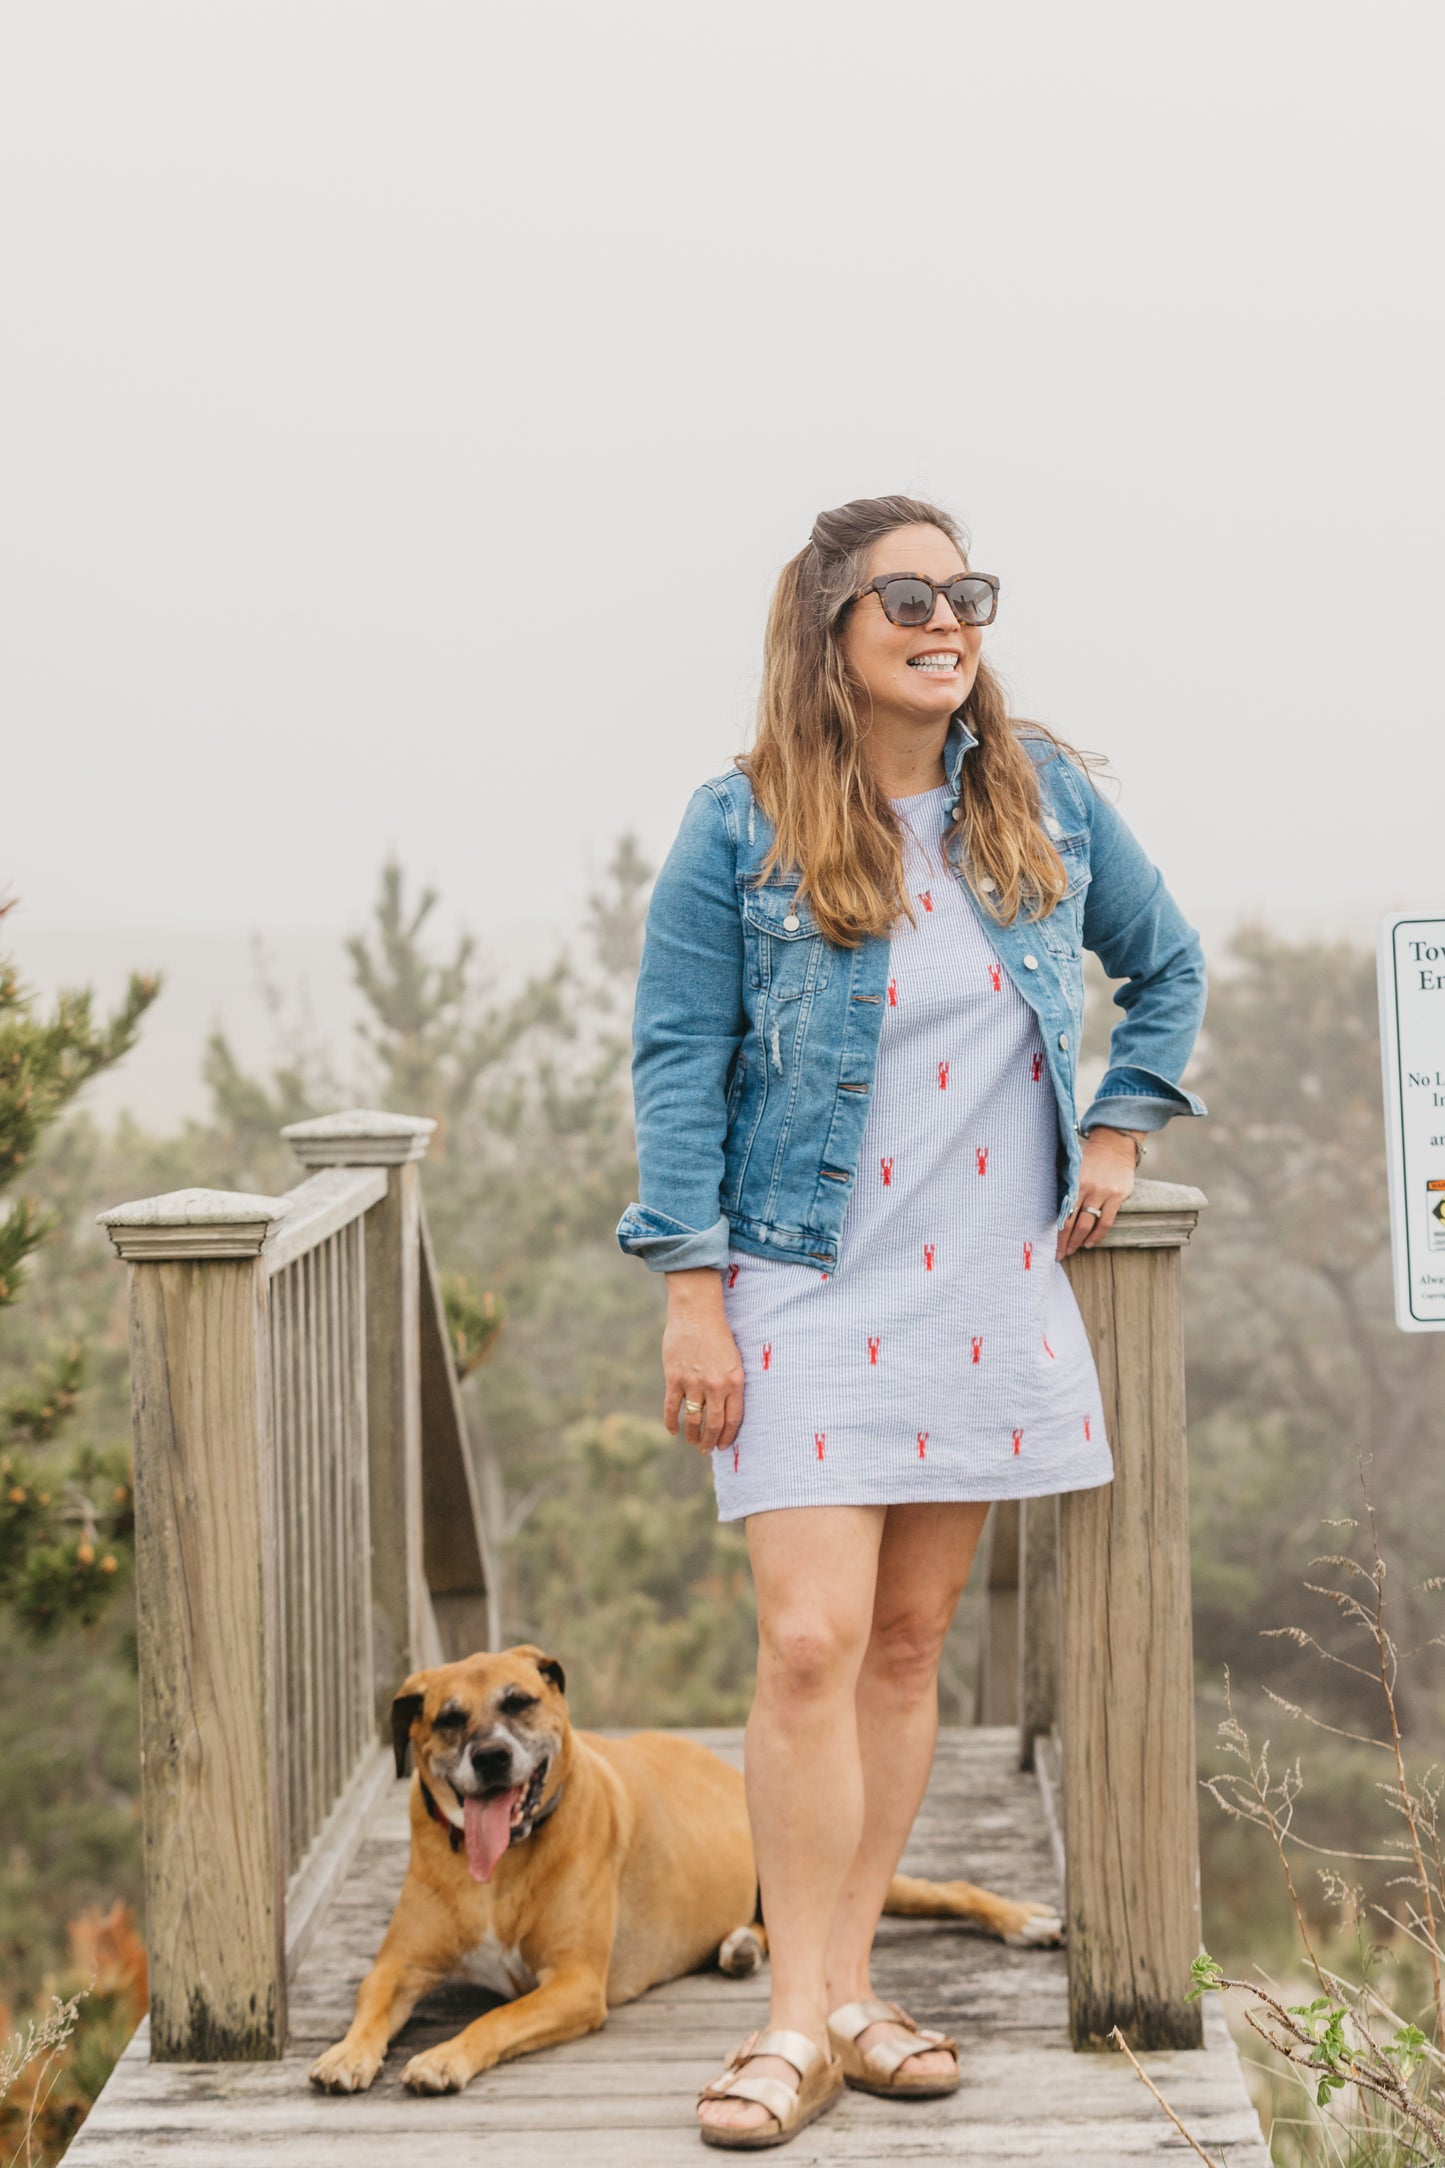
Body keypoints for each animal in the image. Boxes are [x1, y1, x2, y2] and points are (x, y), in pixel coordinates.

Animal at [314, 1647, 1061, 2089]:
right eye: (448, 1719)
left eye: (518, 1701)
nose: (492, 1758)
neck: (502, 1863)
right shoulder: (399, 1966)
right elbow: (371, 2004)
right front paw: (349, 2052)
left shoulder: (573, 1986)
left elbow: (494, 2020)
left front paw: (443, 2056)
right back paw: (739, 1947)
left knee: (944, 1889)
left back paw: (1026, 1921)